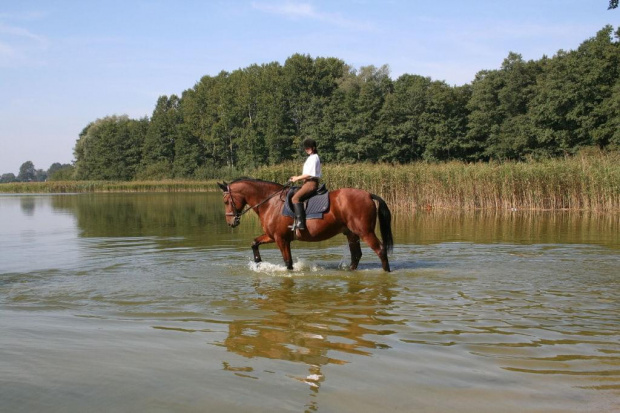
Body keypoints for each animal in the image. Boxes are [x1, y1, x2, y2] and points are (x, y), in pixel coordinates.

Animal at [218, 177, 392, 270]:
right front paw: (258, 262)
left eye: (226, 201)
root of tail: (368, 195)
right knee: (356, 255)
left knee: (380, 251)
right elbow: (254, 242)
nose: (230, 222)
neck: (270, 202)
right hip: (351, 233)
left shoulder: (281, 239)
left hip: (365, 232)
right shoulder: (272, 236)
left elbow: (288, 263)